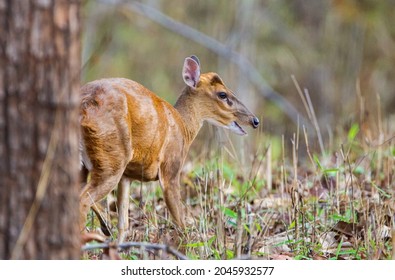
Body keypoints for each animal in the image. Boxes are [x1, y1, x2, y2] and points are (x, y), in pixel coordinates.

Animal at [79, 55, 262, 242]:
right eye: (222, 94)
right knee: (83, 200)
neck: (183, 127)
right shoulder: (171, 166)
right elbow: (179, 220)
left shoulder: (127, 175)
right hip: (112, 156)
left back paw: (102, 229)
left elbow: (124, 223)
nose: (255, 120)